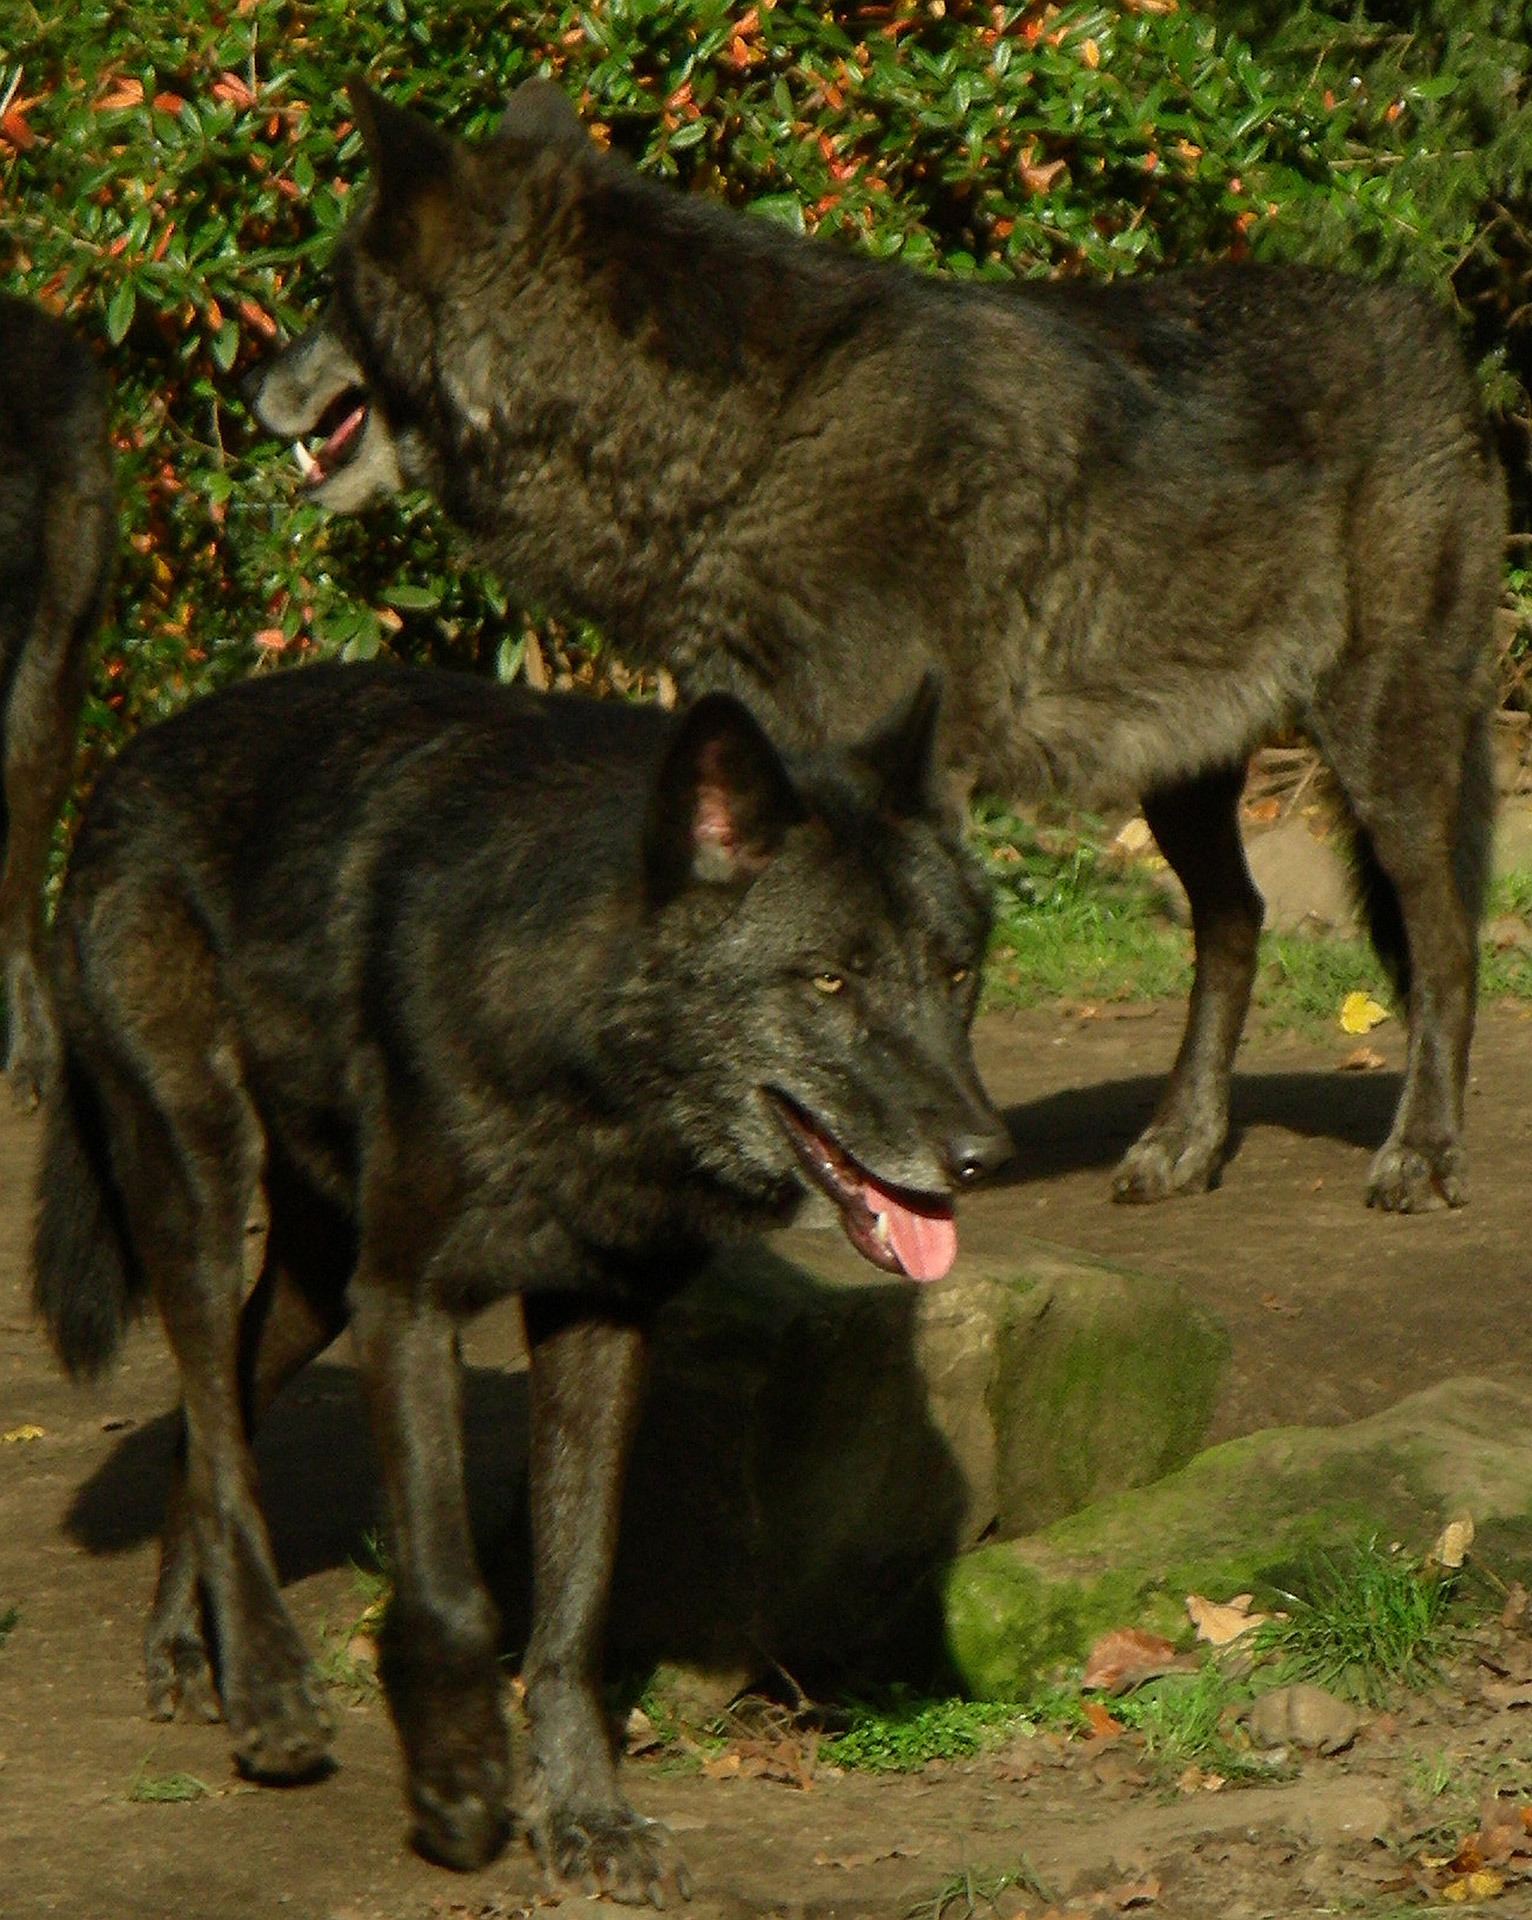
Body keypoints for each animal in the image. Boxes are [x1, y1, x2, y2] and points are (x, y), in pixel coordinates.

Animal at [29, 660, 1013, 1889]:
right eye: (830, 981)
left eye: (957, 972)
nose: (983, 1157)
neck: (581, 1061)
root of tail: (135, 753)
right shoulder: (406, 1305)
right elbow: (450, 1595)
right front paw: (458, 1788)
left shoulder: (599, 1316)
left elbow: (575, 1602)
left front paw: (586, 1815)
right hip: (205, 1189)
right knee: (212, 1412)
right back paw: (265, 1689)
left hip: (315, 1278)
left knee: (212, 1425)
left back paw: (182, 1642)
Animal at [251, 82, 1512, 1213]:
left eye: (330, 294)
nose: (251, 378)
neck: (744, 445)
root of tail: (1433, 330)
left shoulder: (904, 763)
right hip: (1181, 774)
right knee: (1236, 922)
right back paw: (1181, 1147)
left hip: (1379, 744)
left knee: (1442, 943)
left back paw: (1423, 1154)